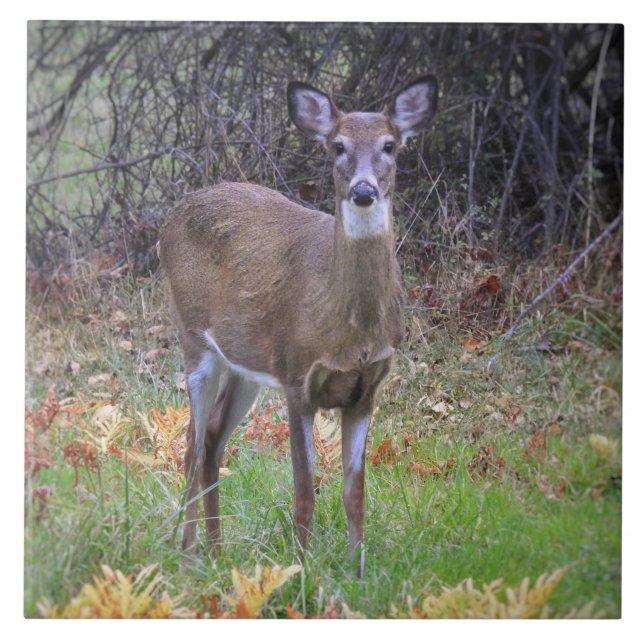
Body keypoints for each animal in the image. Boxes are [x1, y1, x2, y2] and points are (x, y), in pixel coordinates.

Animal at [158, 75, 438, 575]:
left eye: (390, 145)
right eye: (337, 146)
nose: (363, 191)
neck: (350, 332)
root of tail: (170, 217)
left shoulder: (367, 389)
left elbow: (355, 494)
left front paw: (357, 572)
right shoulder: (296, 378)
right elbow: (304, 492)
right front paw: (301, 571)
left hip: (245, 367)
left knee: (211, 438)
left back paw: (217, 550)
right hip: (193, 338)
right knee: (190, 444)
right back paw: (189, 554)